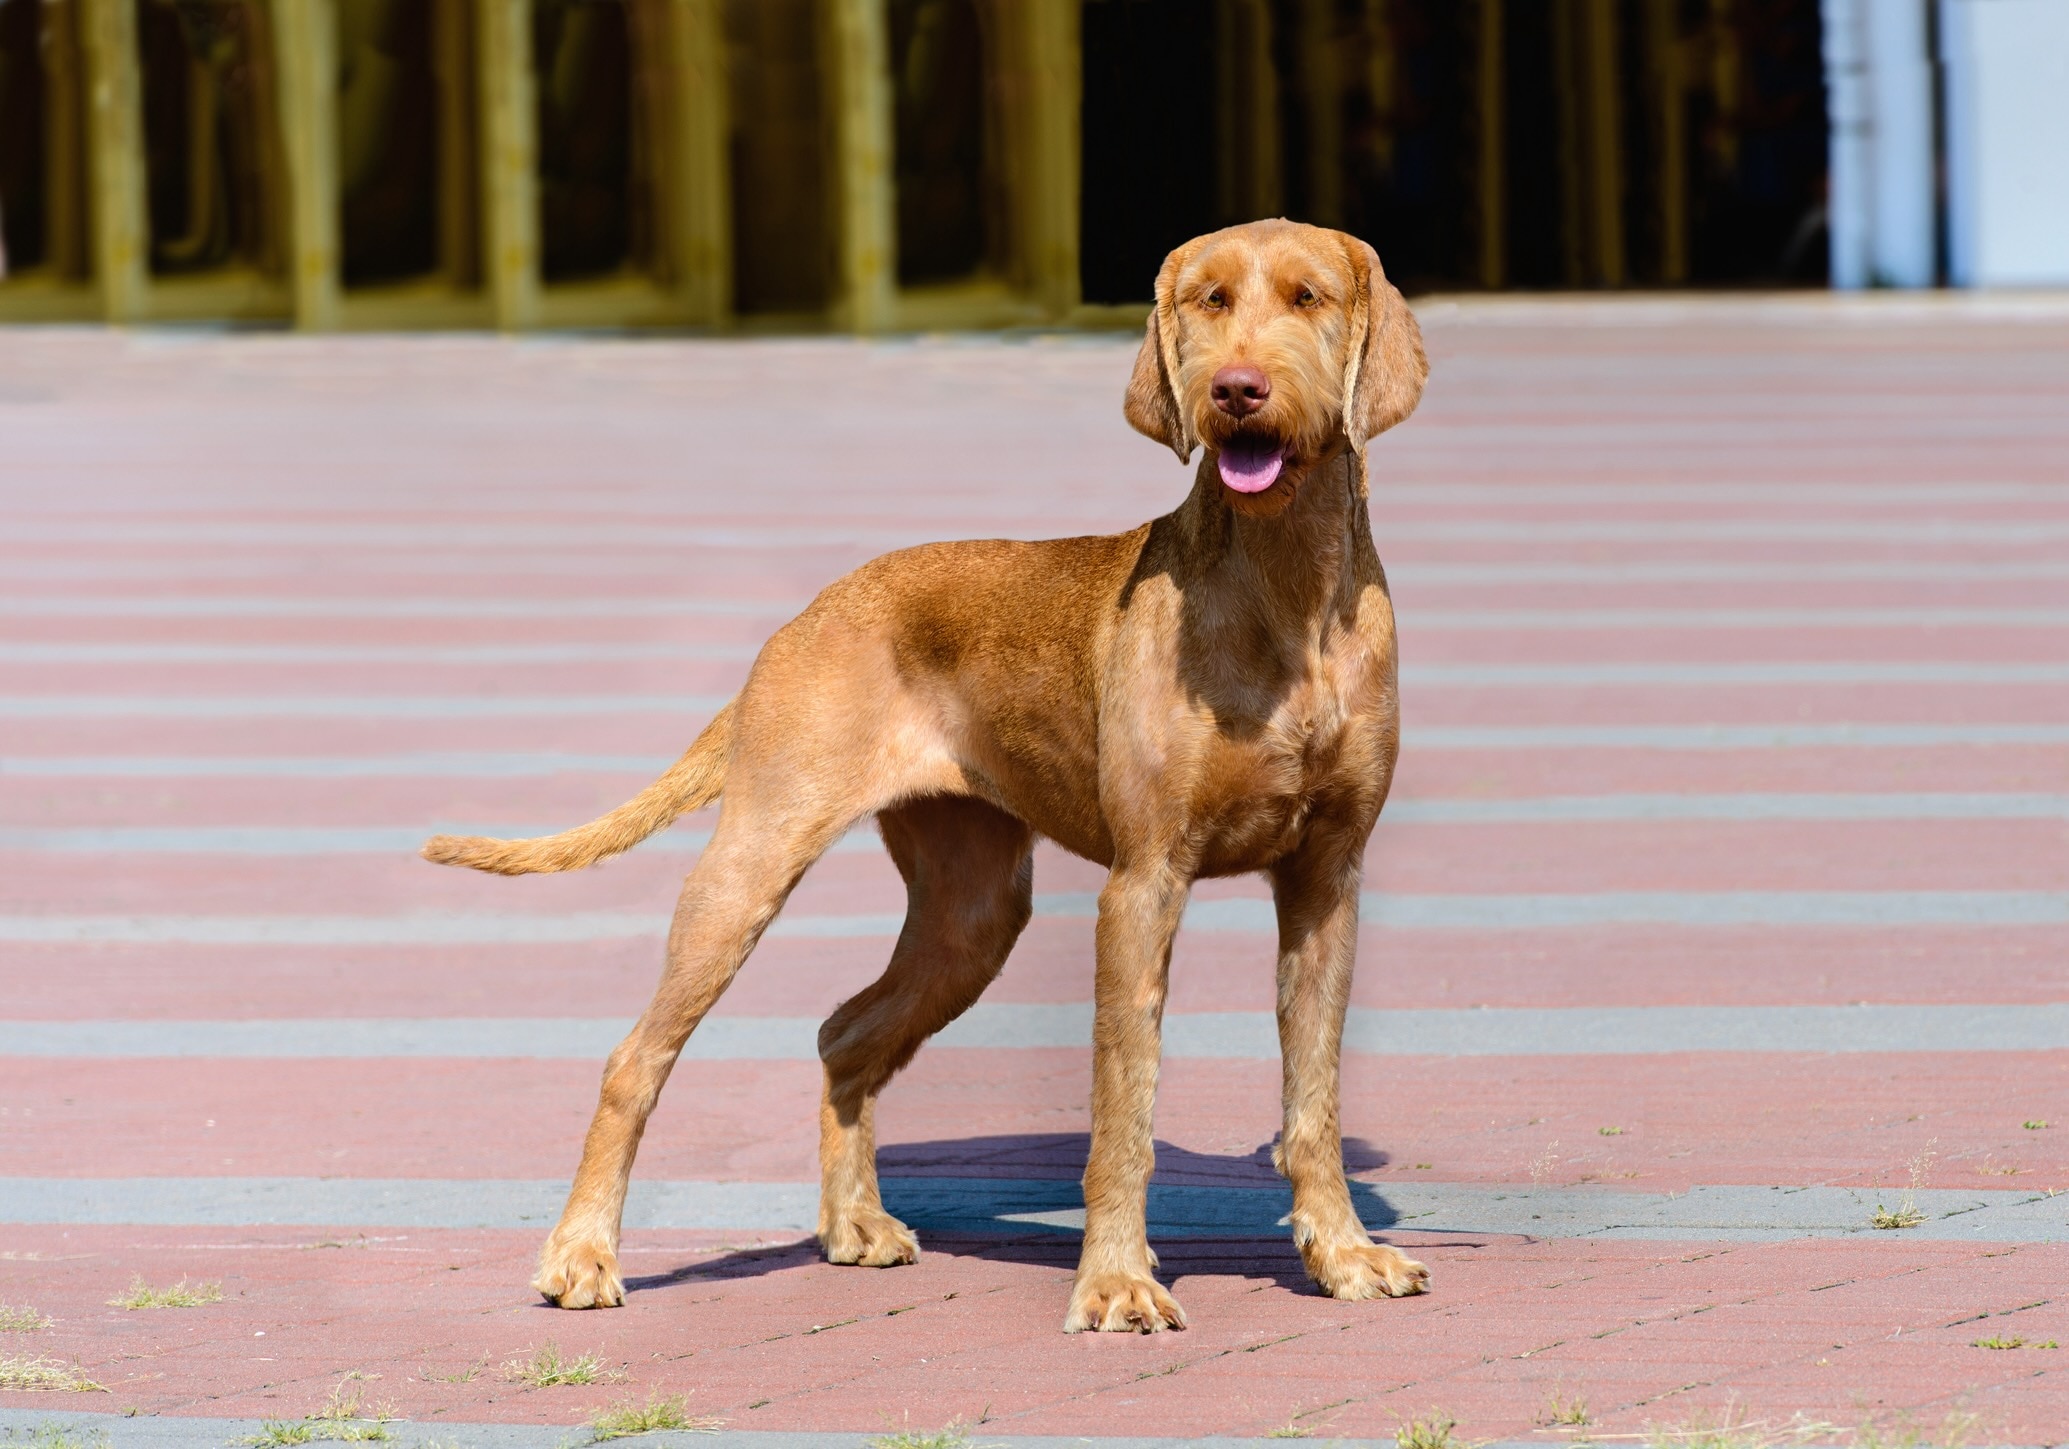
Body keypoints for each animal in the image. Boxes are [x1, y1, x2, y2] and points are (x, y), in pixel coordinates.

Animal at [420, 218, 1423, 1333]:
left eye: (1306, 297)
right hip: (750, 867)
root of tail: (802, 618)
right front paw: (1116, 1280)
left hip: (970, 911)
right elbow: (1124, 1109)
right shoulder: (1143, 884)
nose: (1236, 390)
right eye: (1208, 300)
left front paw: (1342, 1252)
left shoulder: (1325, 879)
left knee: (844, 1032)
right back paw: (580, 1254)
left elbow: (1313, 1097)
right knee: (635, 1058)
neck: (1283, 585)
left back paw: (852, 1224)